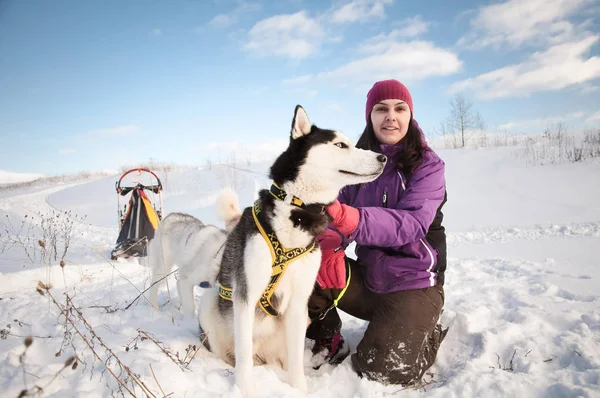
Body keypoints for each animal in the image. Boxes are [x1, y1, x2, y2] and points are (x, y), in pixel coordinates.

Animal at [147, 188, 241, 318]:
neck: (218, 257)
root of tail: (169, 216)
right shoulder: (187, 281)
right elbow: (190, 308)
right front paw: (189, 321)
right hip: (163, 267)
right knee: (153, 286)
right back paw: (155, 310)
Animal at [197, 105, 384, 394]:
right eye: (340, 145)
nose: (383, 157)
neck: (298, 210)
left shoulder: (299, 302)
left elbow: (295, 358)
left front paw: (299, 389)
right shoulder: (246, 296)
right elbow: (243, 356)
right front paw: (245, 390)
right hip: (210, 303)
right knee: (234, 353)